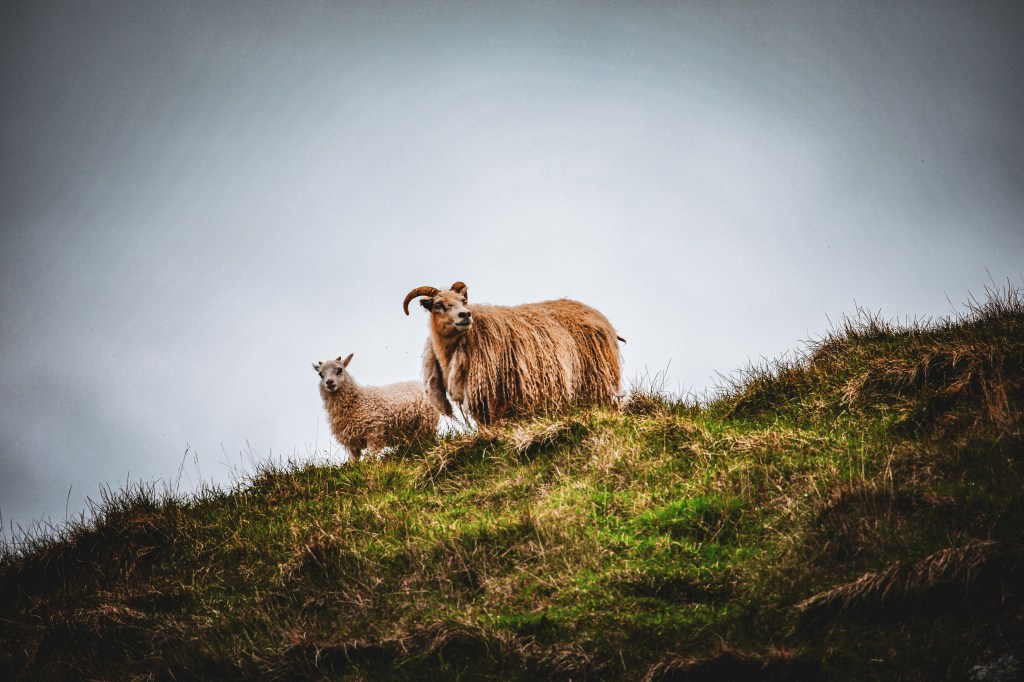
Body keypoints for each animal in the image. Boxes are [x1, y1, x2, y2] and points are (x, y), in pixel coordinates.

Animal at [403, 281, 624, 424]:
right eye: (438, 305)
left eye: (462, 301)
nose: (465, 315)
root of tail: (599, 316)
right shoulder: (478, 400)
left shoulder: (496, 393)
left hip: (598, 379)